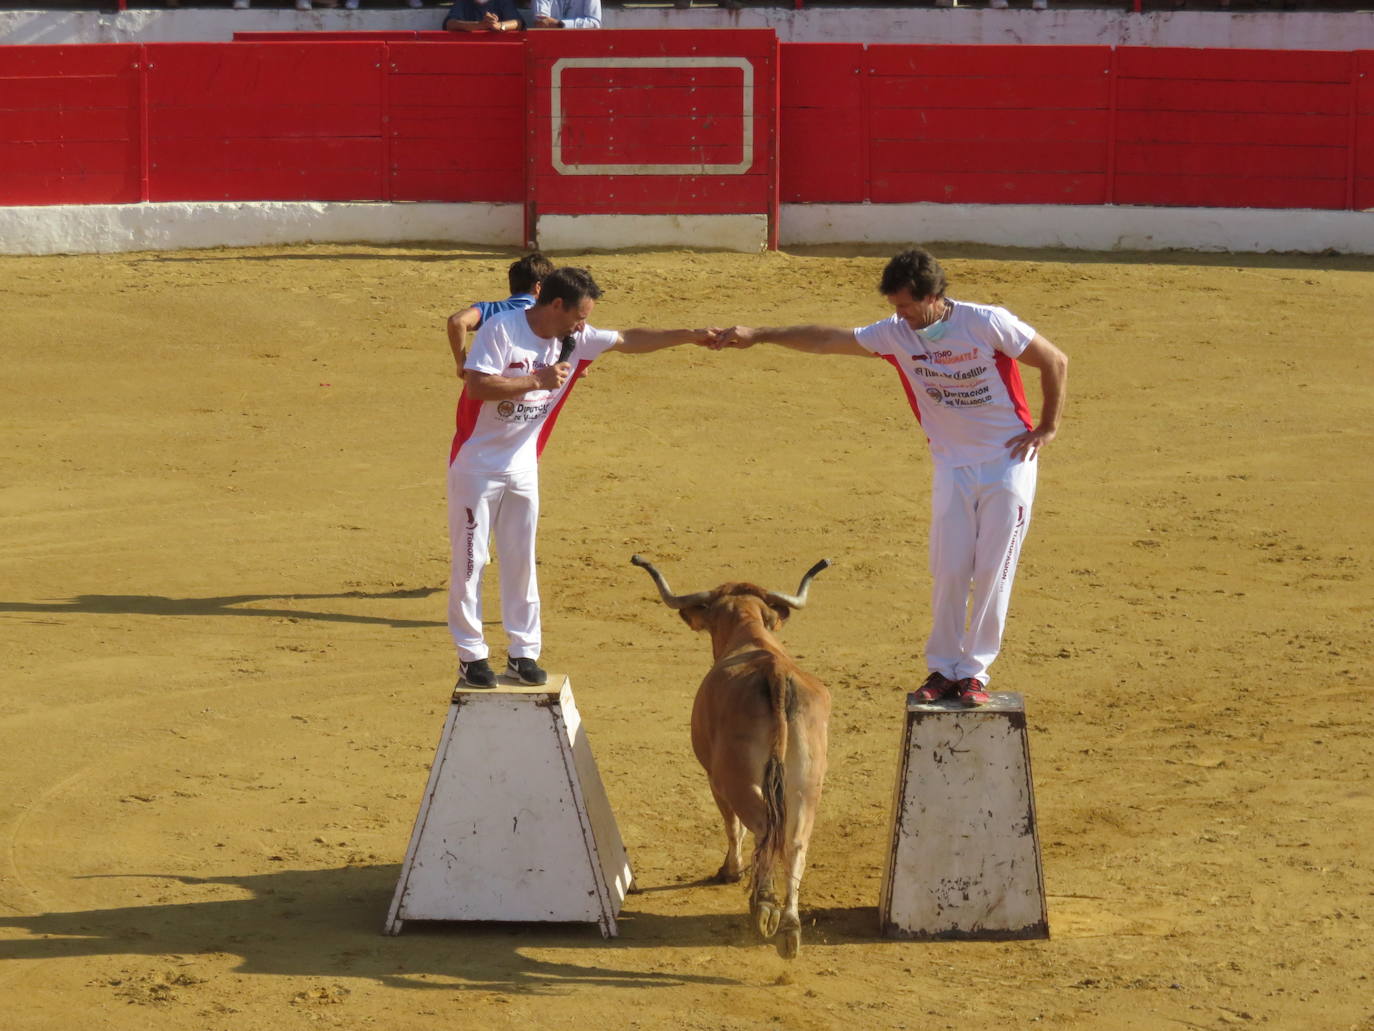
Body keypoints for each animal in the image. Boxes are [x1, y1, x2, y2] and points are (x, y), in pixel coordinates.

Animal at [629, 558, 829, 962]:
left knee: (764, 828)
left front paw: (730, 870)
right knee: (796, 842)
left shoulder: (713, 777)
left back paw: (764, 906)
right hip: (808, 782)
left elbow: (731, 825)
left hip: (735, 778)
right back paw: (789, 927)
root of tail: (775, 674)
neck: (752, 636)